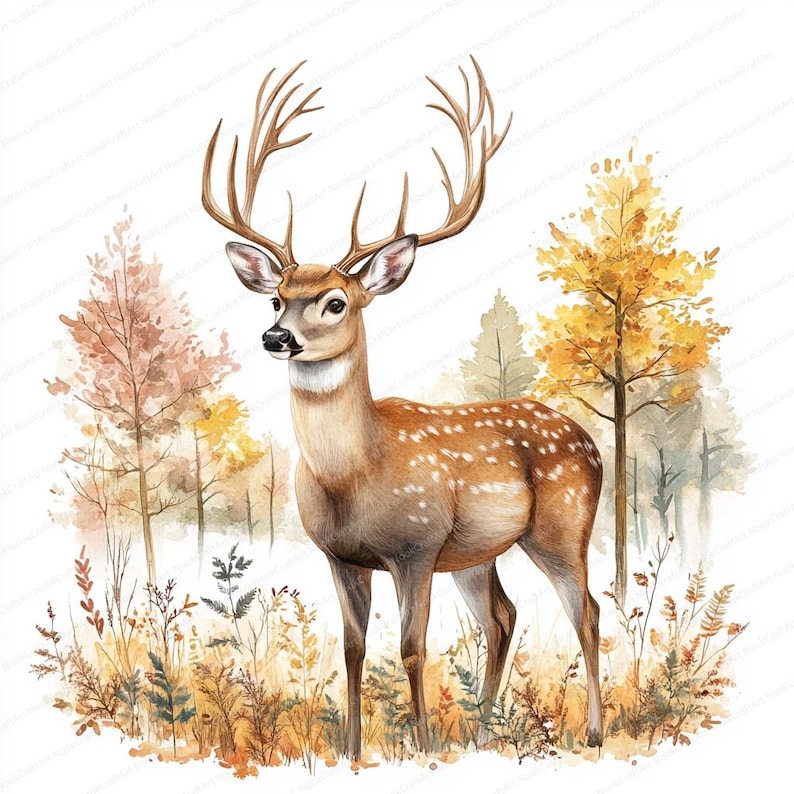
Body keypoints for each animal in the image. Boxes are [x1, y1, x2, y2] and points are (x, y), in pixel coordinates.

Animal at [202, 58, 604, 759]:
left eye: (336, 301)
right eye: (276, 298)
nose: (277, 337)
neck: (355, 475)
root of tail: (593, 445)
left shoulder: (416, 545)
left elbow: (413, 648)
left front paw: (421, 746)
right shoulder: (340, 555)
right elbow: (354, 649)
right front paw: (352, 750)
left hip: (560, 525)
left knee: (586, 609)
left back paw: (594, 732)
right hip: (477, 554)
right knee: (503, 617)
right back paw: (483, 730)